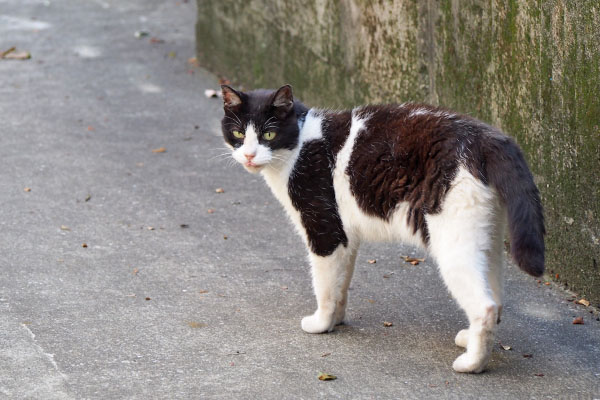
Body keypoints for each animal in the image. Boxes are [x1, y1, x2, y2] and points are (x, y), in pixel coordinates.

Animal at [219, 83, 544, 374]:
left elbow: (323, 285)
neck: (298, 146)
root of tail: (488, 137)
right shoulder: (345, 237)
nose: (248, 155)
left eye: (268, 134)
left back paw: (472, 364)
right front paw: (336, 320)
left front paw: (321, 323)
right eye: (238, 134)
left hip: (453, 244)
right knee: (496, 298)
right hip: (485, 239)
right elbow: (340, 284)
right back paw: (471, 341)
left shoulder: (324, 231)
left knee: (485, 307)